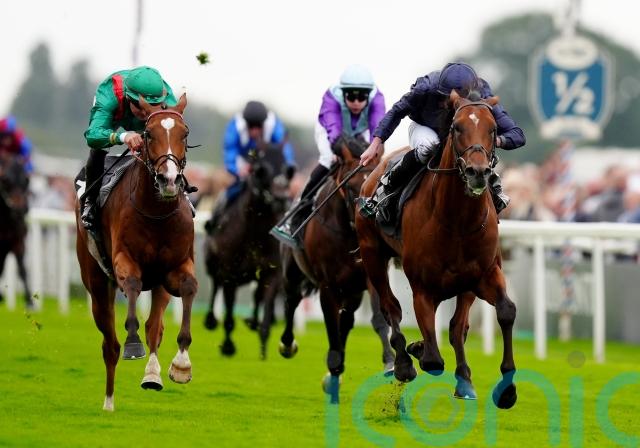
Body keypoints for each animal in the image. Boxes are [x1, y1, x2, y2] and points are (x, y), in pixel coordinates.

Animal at [75, 94, 198, 411]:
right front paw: (133, 343)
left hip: (159, 286)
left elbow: (188, 289)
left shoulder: (175, 268)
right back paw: (108, 402)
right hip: (96, 283)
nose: (169, 180)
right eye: (148, 134)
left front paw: (181, 364)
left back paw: (152, 376)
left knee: (155, 327)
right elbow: (131, 285)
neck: (157, 212)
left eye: (185, 133)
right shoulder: (124, 261)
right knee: (109, 344)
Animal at [203, 144, 292, 359]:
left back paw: (252, 321)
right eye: (260, 169)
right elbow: (228, 314)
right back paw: (210, 320)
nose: (281, 199)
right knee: (214, 284)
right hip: (212, 263)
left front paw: (263, 352)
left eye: (289, 169)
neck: (255, 233)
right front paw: (228, 346)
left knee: (257, 296)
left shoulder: (272, 273)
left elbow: (266, 312)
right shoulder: (230, 274)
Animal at [278, 135, 395, 404]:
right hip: (292, 272)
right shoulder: (327, 286)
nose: (367, 218)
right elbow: (331, 327)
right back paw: (288, 344)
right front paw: (333, 371)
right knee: (291, 301)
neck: (349, 233)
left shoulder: (370, 277)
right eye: (351, 187)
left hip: (352, 292)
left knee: (347, 319)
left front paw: (390, 361)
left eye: (376, 183)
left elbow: (378, 319)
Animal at [355, 91, 518, 409]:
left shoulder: (483, 274)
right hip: (372, 255)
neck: (457, 221)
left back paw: (463, 379)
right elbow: (432, 360)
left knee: (457, 327)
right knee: (391, 307)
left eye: (493, 129)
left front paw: (506, 389)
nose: (478, 172)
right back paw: (403, 363)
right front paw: (417, 349)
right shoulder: (423, 287)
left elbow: (504, 312)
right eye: (456, 127)